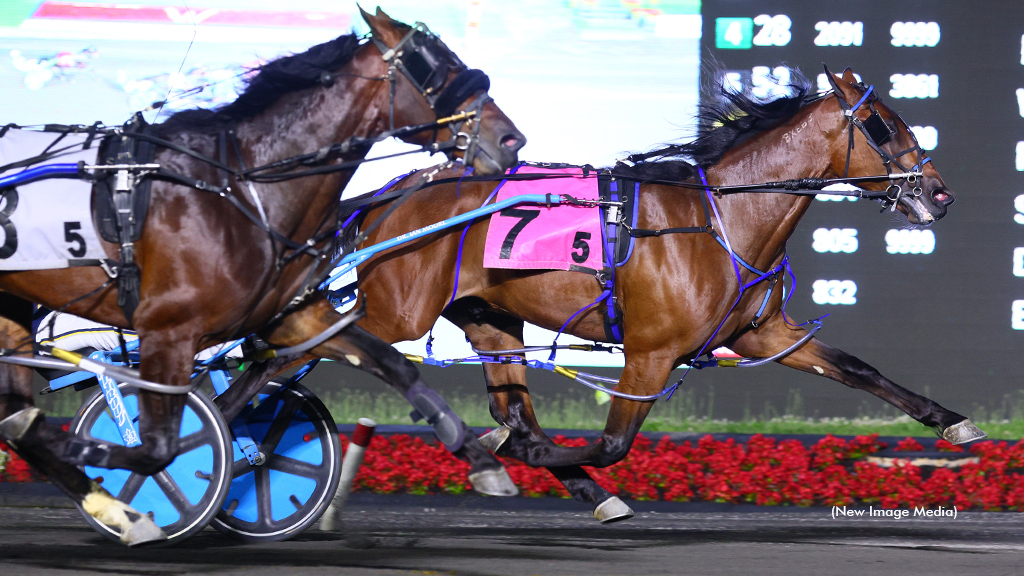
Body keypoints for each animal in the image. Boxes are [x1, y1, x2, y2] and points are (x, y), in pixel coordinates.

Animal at [0, 6, 524, 541]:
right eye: (437, 67)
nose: (511, 139)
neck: (236, 186)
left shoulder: (290, 315)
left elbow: (393, 364)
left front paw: (485, 462)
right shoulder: (168, 327)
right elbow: (156, 447)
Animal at [325, 68, 974, 520]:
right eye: (883, 124)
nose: (939, 193)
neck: (721, 219)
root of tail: (394, 193)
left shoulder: (762, 333)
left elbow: (858, 369)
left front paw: (952, 422)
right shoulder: (650, 353)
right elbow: (610, 443)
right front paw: (508, 453)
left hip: (491, 318)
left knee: (512, 408)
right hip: (398, 312)